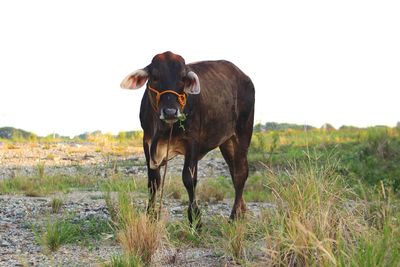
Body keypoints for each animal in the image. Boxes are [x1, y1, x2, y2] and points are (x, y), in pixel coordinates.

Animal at [120, 51, 255, 226]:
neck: (163, 128)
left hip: (243, 134)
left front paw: (195, 220)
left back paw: (233, 217)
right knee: (234, 171)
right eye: (154, 76)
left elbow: (189, 179)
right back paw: (241, 211)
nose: (170, 112)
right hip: (226, 142)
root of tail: (243, 75)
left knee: (240, 174)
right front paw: (150, 216)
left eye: (183, 78)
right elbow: (153, 181)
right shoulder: (147, 143)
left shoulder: (192, 142)